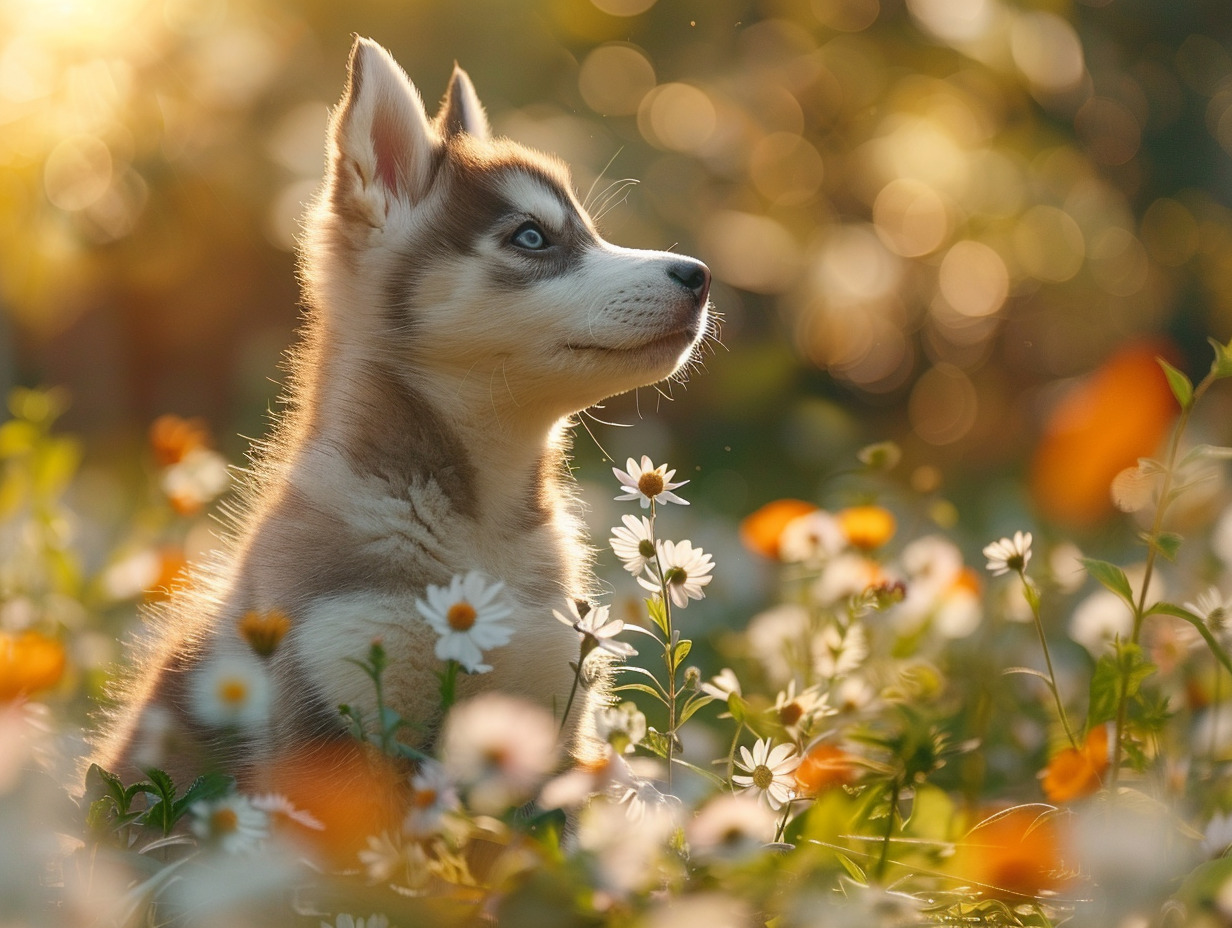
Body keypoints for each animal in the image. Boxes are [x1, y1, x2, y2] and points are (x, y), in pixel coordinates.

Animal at [91, 39, 714, 798]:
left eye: (590, 232)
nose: (699, 275)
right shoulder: (336, 708)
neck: (482, 533)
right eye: (532, 236)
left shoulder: (551, 717)